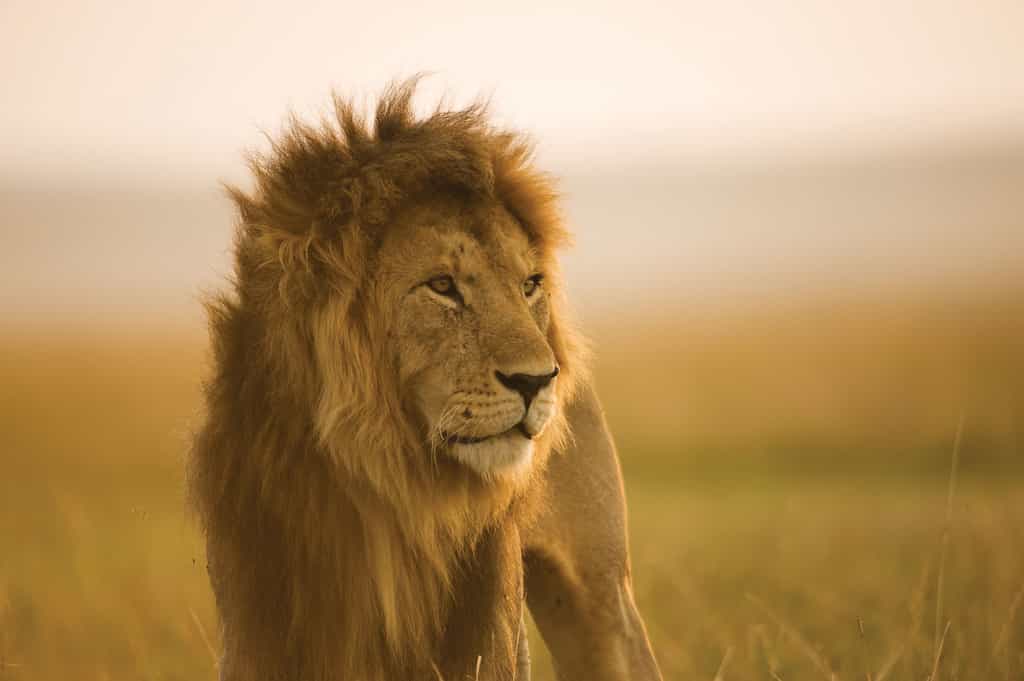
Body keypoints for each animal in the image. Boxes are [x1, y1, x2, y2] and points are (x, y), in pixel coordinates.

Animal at [188, 80, 662, 681]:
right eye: (441, 286)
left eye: (529, 284)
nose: (539, 381)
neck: (382, 484)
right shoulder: (263, 621)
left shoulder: (481, 635)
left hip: (600, 597)